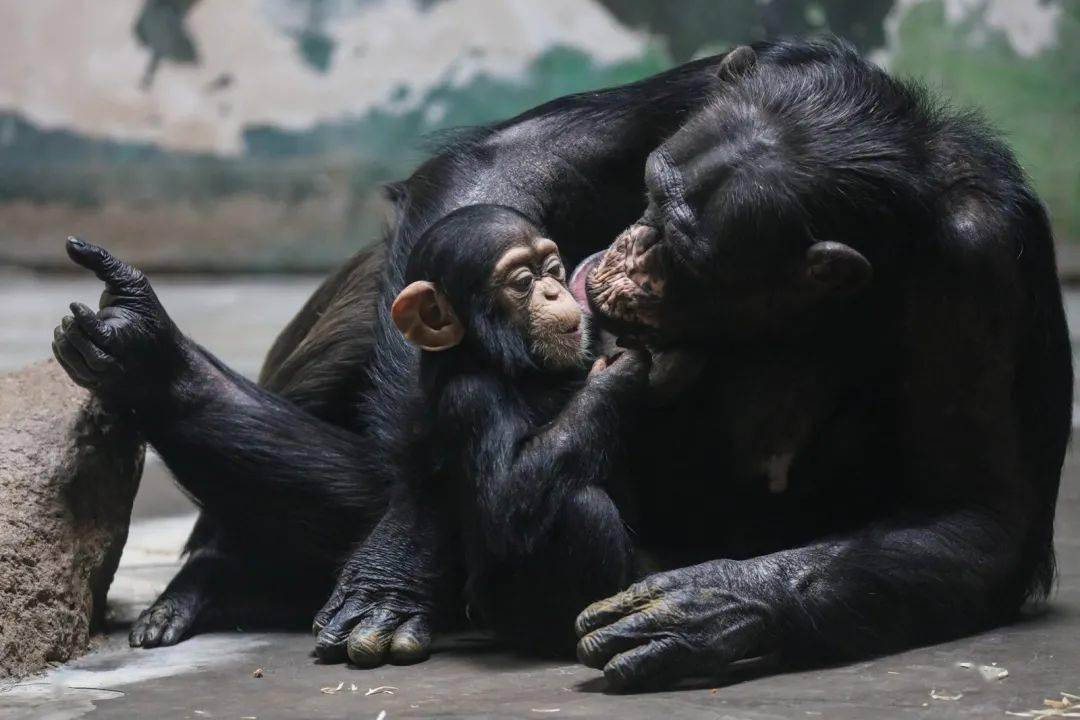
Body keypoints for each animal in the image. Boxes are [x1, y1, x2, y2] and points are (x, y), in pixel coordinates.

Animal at [395, 202, 648, 651]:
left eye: (553, 270)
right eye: (524, 282)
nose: (553, 292)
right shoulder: (470, 398)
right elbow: (505, 498)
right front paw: (619, 378)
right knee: (583, 506)